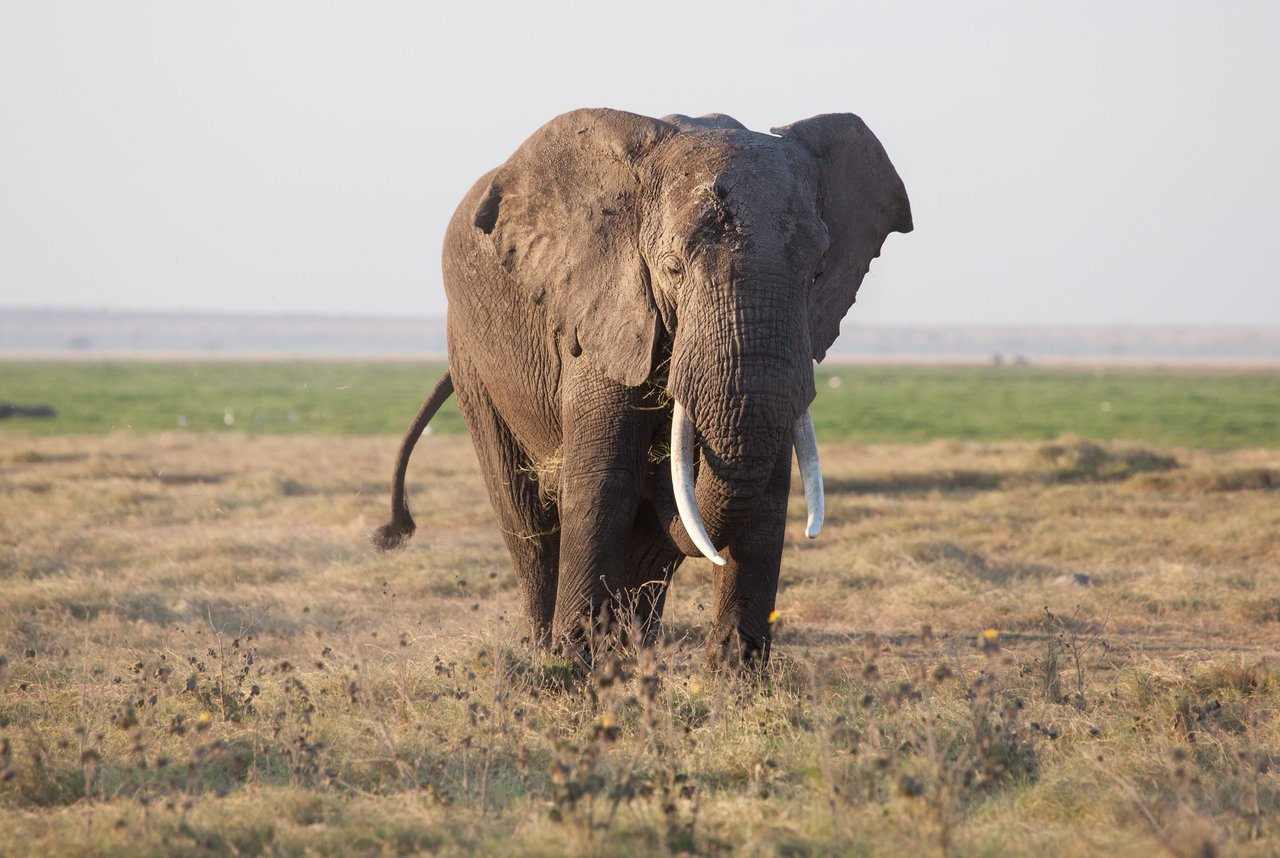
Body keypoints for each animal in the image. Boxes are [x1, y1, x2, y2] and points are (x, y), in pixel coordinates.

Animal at [373, 107, 911, 671]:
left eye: (818, 271)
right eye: (672, 267)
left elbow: (767, 491)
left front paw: (735, 678)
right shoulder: (602, 308)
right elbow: (603, 478)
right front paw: (571, 667)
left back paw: (632, 655)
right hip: (471, 355)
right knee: (524, 515)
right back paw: (549, 649)